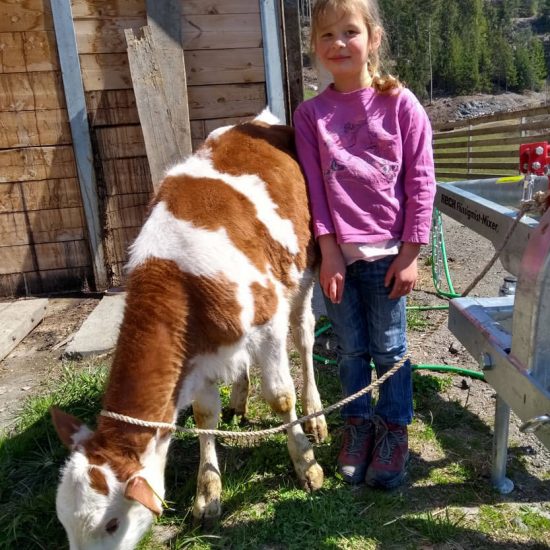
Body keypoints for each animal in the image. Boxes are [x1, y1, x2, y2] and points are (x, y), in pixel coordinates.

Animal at [50, 111, 328, 550]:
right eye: (63, 522)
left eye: (111, 524)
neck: (179, 274)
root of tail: (261, 121)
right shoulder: (196, 354)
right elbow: (203, 414)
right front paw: (207, 494)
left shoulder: (267, 321)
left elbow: (281, 398)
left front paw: (306, 463)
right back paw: (239, 399)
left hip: (303, 271)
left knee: (303, 336)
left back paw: (315, 415)